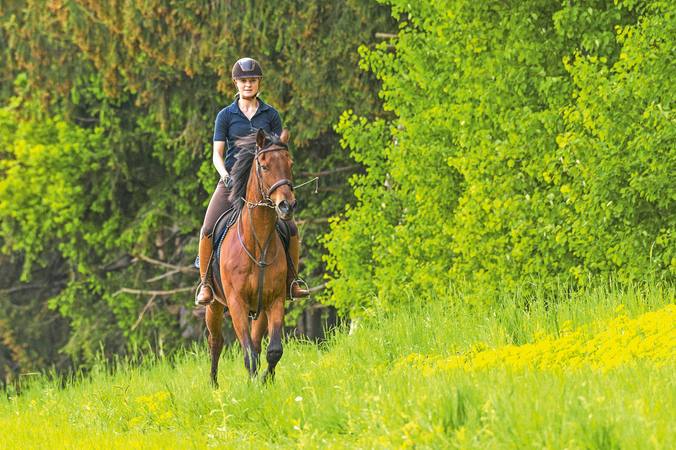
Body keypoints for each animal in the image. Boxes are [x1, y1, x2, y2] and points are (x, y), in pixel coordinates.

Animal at [205, 128, 297, 386]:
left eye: (290, 163)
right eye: (264, 166)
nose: (287, 206)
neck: (258, 244)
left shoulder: (274, 300)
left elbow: (272, 350)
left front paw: (265, 380)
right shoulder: (237, 303)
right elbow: (248, 353)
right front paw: (255, 384)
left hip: (260, 310)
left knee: (256, 343)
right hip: (214, 304)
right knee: (216, 342)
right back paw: (214, 385)